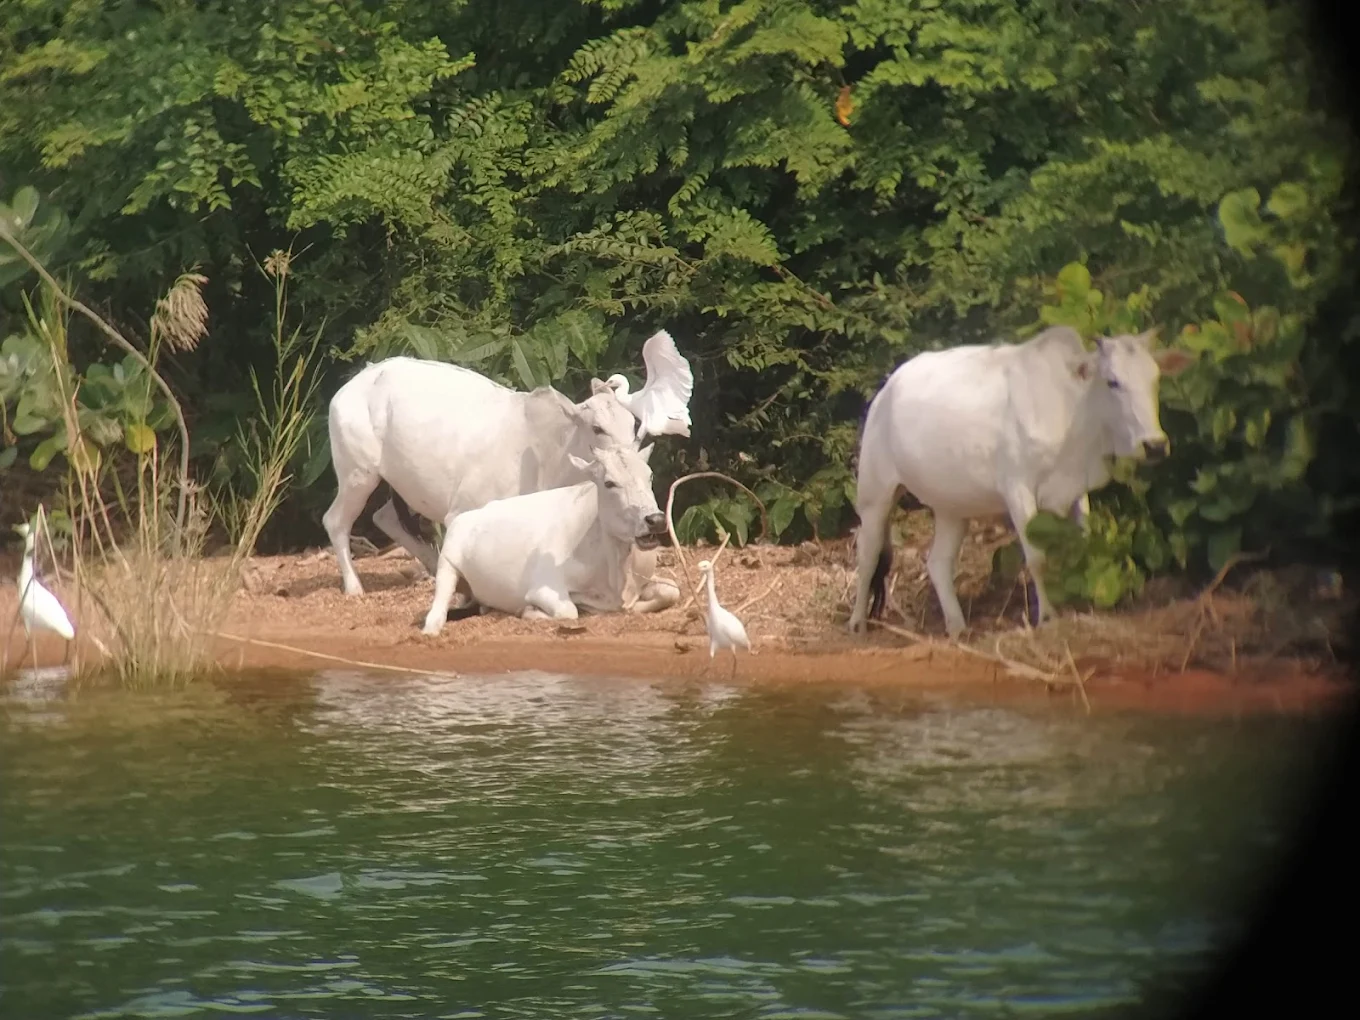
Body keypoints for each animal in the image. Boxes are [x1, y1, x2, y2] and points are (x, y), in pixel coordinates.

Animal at [420, 439, 674, 634]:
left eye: (650, 476)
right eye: (609, 482)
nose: (655, 519)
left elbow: (671, 591)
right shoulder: (543, 586)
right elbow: (568, 611)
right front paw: (530, 611)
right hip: (448, 559)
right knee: (439, 604)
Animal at [847, 325, 1193, 638]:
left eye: (1155, 380)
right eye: (1113, 382)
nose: (1155, 445)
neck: (1074, 410)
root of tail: (886, 390)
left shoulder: (1076, 491)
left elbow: (1082, 543)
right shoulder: (1018, 490)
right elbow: (1037, 559)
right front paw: (1048, 616)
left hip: (951, 508)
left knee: (938, 564)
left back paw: (957, 627)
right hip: (875, 494)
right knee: (868, 554)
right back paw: (857, 623)